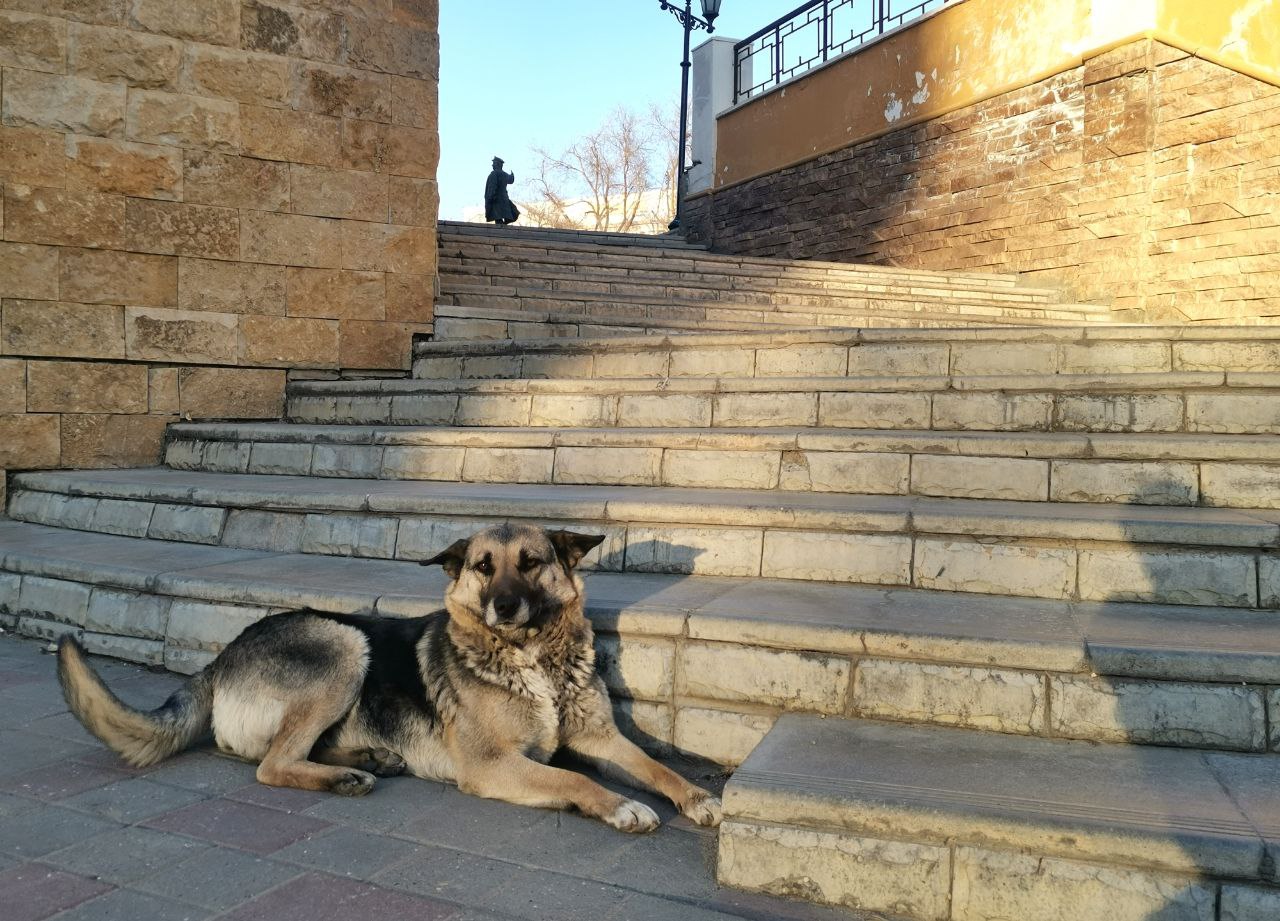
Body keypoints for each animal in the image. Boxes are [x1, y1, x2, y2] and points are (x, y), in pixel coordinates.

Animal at [57, 521, 721, 828]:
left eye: (532, 563)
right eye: (484, 567)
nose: (505, 606)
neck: (529, 656)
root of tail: (219, 659)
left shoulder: (600, 738)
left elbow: (656, 766)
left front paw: (697, 797)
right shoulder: (493, 766)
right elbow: (575, 780)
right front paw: (622, 807)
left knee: (283, 751)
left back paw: (367, 760)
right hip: (345, 644)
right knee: (271, 764)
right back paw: (348, 776)